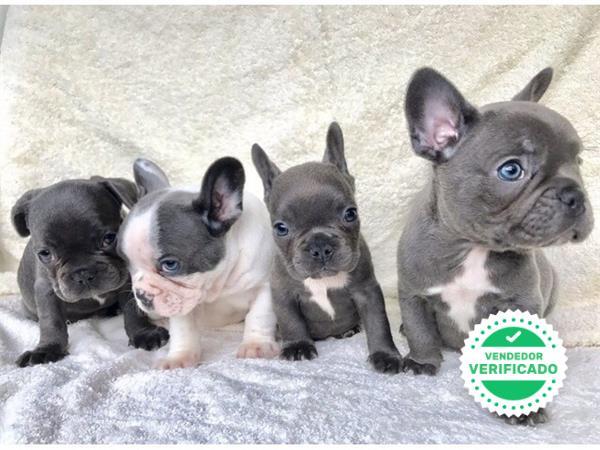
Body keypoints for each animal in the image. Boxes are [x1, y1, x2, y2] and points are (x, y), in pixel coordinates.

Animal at [11, 177, 168, 367]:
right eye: (45, 253)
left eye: (109, 238)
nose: (83, 274)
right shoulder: (46, 290)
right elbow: (51, 321)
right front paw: (47, 349)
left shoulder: (129, 280)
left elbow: (133, 310)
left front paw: (143, 333)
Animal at [109, 157, 279, 369]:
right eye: (126, 262)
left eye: (170, 264)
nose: (141, 294)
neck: (217, 283)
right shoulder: (178, 299)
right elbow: (183, 330)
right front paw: (180, 357)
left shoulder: (265, 287)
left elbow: (259, 316)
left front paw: (256, 345)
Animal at [252, 122, 403, 373]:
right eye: (281, 228)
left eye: (351, 214)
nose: (320, 245)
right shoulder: (283, 294)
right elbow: (291, 321)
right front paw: (298, 346)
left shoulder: (367, 291)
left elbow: (378, 323)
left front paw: (386, 355)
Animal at [397, 67, 594, 424]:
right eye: (511, 169)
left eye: (580, 162)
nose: (576, 195)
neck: (472, 248)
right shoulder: (413, 292)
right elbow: (420, 331)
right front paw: (422, 362)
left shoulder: (522, 301)